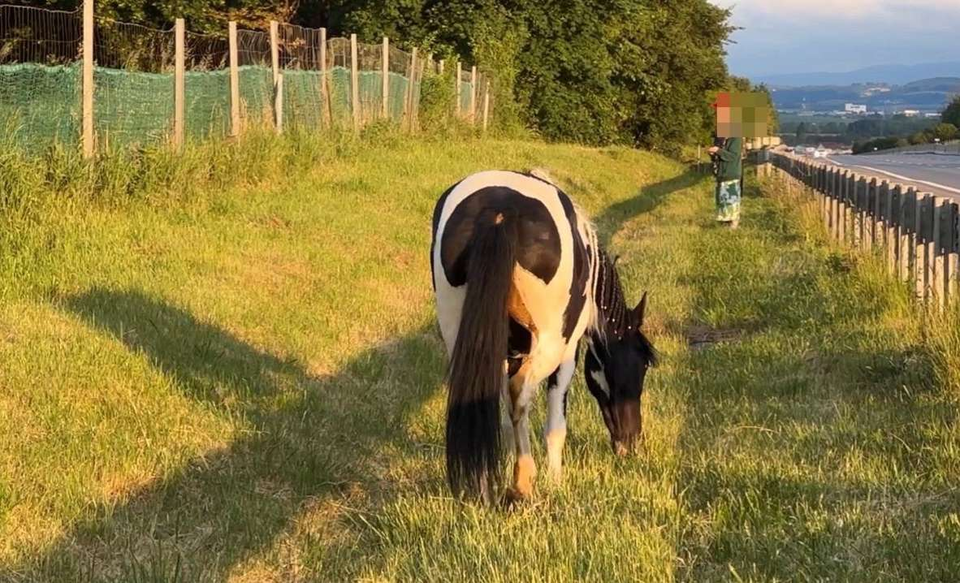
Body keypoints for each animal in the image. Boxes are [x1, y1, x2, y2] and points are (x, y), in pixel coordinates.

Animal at [430, 169, 658, 502]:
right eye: (641, 366)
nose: (630, 443)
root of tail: (498, 211)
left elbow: (502, 413)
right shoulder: (567, 355)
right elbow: (554, 421)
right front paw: (554, 480)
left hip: (458, 332)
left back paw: (486, 485)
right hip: (549, 344)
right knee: (520, 394)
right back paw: (524, 481)